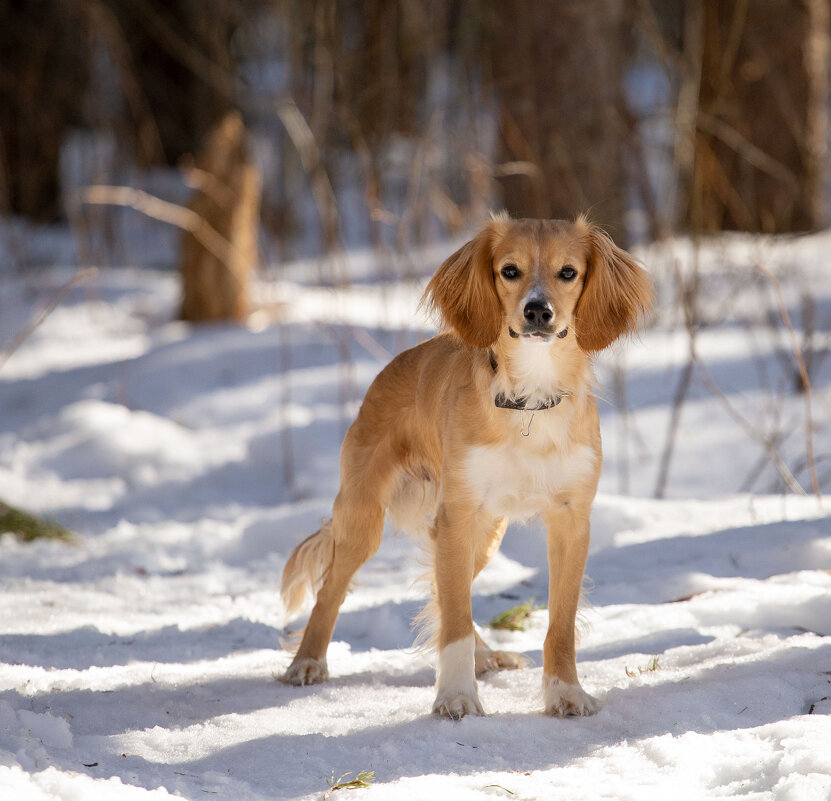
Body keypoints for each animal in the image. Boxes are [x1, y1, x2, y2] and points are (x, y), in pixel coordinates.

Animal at [282, 214, 652, 720]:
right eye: (510, 271)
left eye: (568, 272)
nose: (538, 311)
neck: (528, 401)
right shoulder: (457, 516)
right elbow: (454, 620)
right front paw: (456, 696)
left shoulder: (570, 519)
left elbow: (558, 623)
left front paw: (565, 693)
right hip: (365, 517)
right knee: (332, 590)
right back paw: (307, 662)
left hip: (486, 532)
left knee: (444, 592)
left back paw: (485, 655)